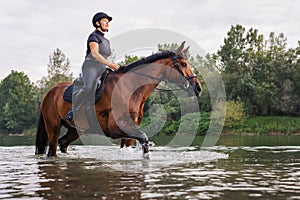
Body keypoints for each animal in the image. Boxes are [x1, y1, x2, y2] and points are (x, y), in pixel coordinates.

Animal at [36, 41, 203, 159]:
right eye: (183, 64)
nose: (198, 87)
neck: (130, 87)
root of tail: (50, 92)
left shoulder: (129, 128)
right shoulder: (115, 128)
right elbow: (144, 139)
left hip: (75, 129)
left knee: (63, 143)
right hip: (53, 126)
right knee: (53, 148)